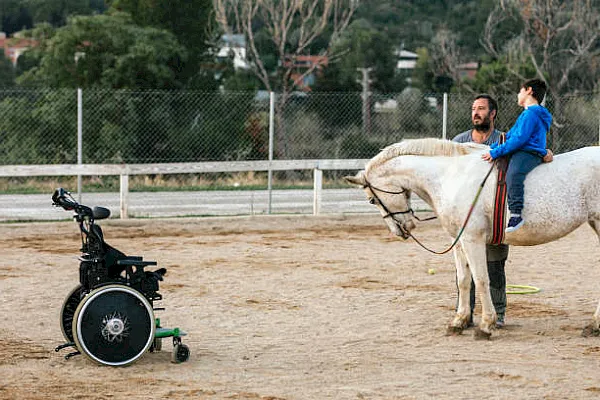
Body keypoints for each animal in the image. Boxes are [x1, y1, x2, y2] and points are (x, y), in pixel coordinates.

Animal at [344, 138, 596, 338]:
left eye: (372, 200)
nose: (401, 230)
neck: (450, 176)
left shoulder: (472, 239)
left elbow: (482, 279)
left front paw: (486, 325)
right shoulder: (459, 240)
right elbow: (464, 280)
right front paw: (459, 321)